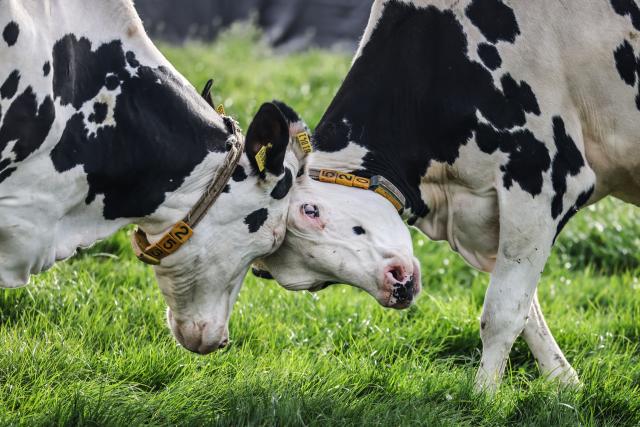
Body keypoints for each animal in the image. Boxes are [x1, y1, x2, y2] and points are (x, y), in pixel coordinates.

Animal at [258, 0, 640, 392]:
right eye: (310, 283)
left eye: (311, 210)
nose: (395, 287)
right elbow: (527, 310)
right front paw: (565, 384)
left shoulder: (541, 176)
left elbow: (502, 313)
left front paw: (483, 396)